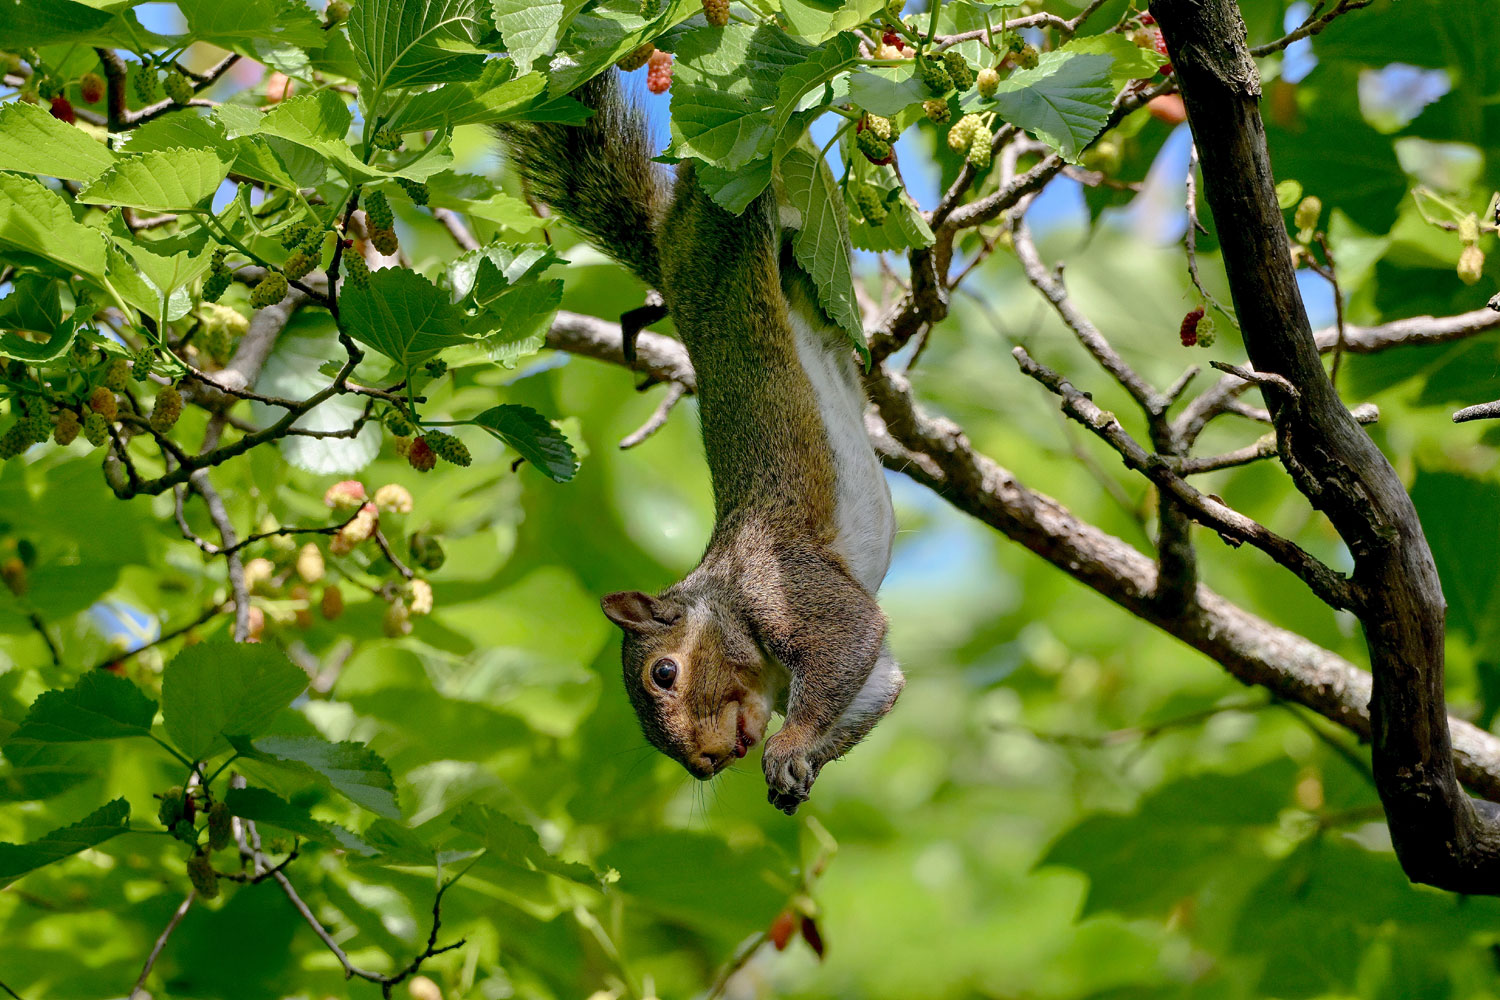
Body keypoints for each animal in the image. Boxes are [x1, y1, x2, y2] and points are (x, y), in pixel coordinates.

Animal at [498, 72, 903, 814]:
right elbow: (880, 683)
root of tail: (667, 244)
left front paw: (790, 744)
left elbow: (851, 637)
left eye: (663, 673)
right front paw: (797, 768)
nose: (707, 762)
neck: (722, 593)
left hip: (736, 217)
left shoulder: (783, 583)